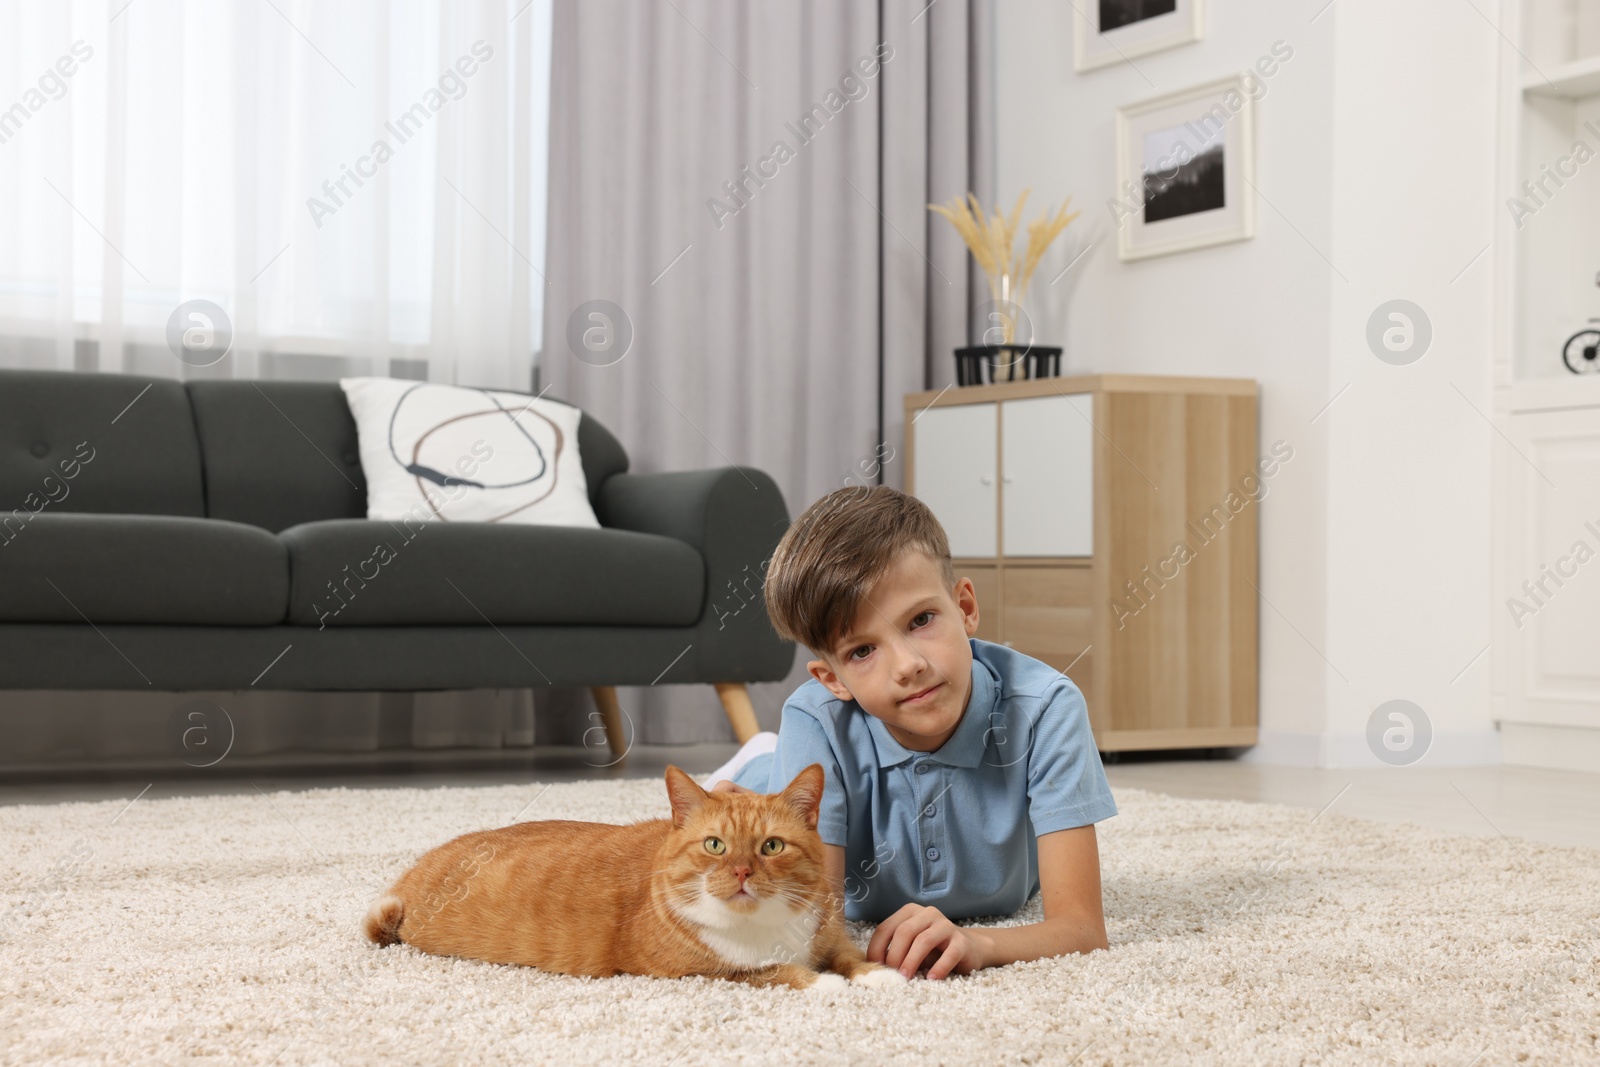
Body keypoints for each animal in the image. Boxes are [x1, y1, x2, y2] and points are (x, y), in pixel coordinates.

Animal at [366, 758, 908, 991]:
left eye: (771, 846)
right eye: (715, 845)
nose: (740, 871)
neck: (765, 925)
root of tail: (415, 873)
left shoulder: (826, 932)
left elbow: (848, 953)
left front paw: (877, 973)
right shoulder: (699, 971)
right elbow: (773, 970)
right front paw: (823, 984)